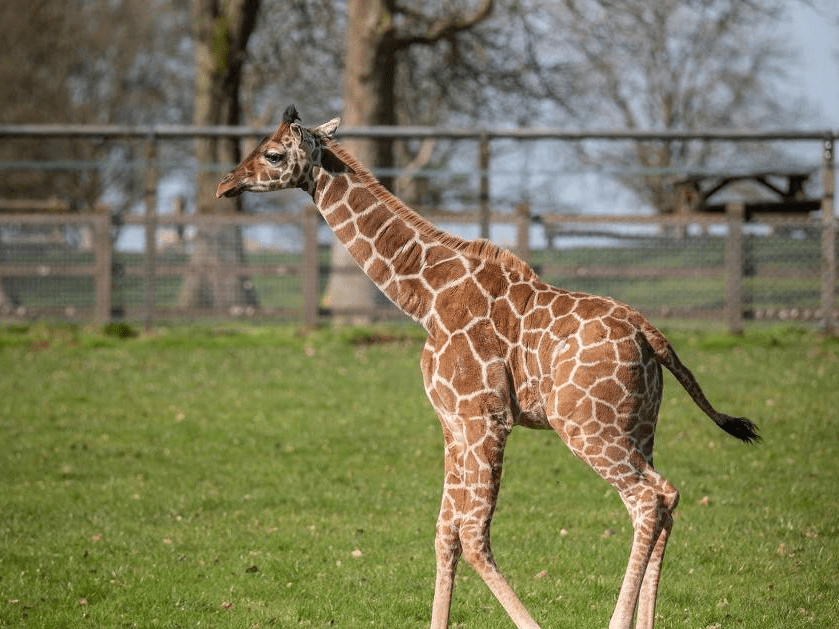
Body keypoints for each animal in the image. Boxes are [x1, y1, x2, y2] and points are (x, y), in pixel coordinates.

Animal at [217, 106, 760, 628]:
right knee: (664, 498)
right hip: (639, 428)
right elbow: (446, 532)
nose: (226, 184)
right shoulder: (452, 423)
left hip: (587, 426)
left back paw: (618, 621)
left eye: (271, 153)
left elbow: (473, 534)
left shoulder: (485, 417)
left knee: (648, 498)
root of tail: (652, 336)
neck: (426, 299)